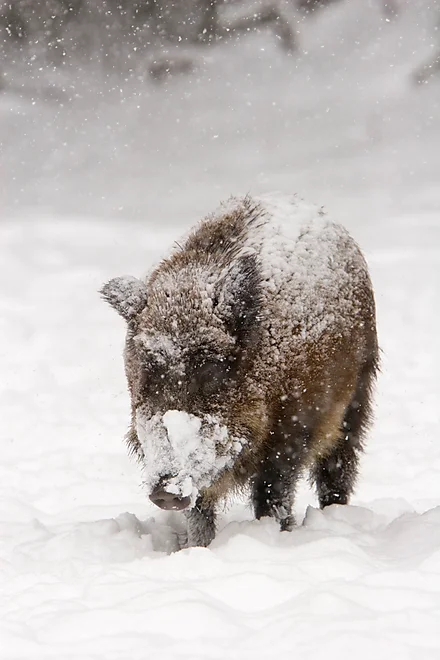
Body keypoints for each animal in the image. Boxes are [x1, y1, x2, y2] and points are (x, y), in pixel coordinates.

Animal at [101, 194, 379, 547]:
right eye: (147, 367)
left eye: (213, 368)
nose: (166, 490)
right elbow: (200, 509)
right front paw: (198, 548)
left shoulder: (292, 430)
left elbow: (273, 491)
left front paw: (273, 533)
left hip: (358, 395)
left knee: (338, 468)